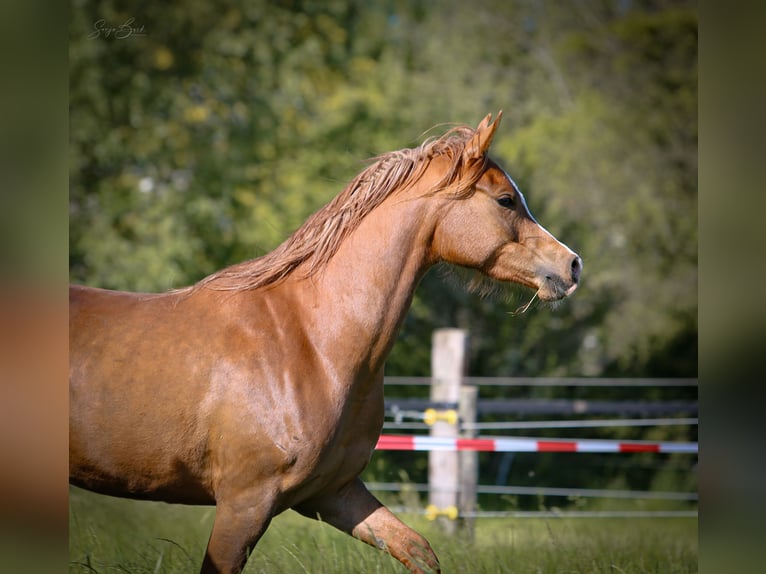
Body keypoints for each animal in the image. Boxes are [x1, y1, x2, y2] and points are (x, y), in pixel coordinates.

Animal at [69, 112, 582, 574]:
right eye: (505, 200)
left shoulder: (333, 493)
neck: (310, 343)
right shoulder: (244, 504)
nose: (572, 265)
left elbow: (418, 551)